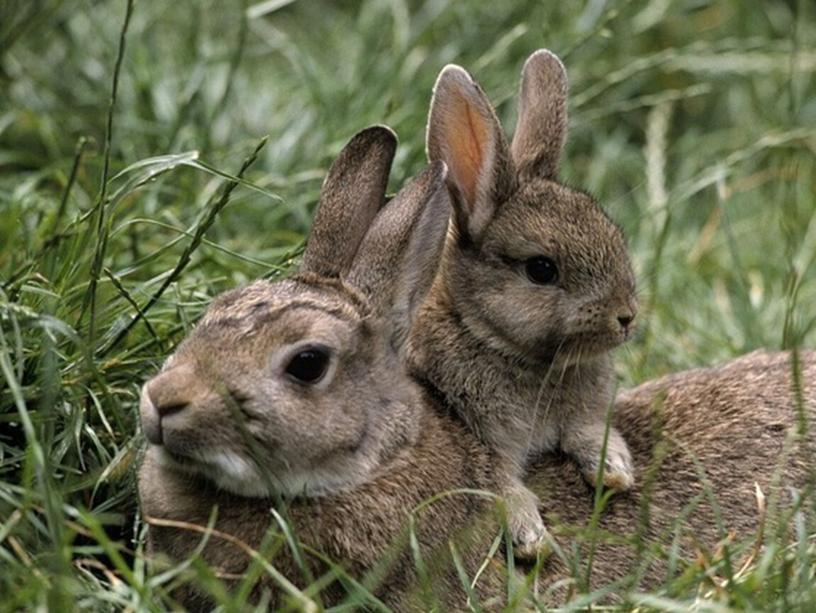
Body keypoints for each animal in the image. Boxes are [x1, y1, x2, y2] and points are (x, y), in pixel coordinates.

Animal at [404, 47, 640, 556]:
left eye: (615, 238)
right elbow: (499, 483)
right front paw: (531, 537)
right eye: (541, 269)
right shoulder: (481, 439)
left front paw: (615, 470)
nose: (626, 317)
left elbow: (588, 431)